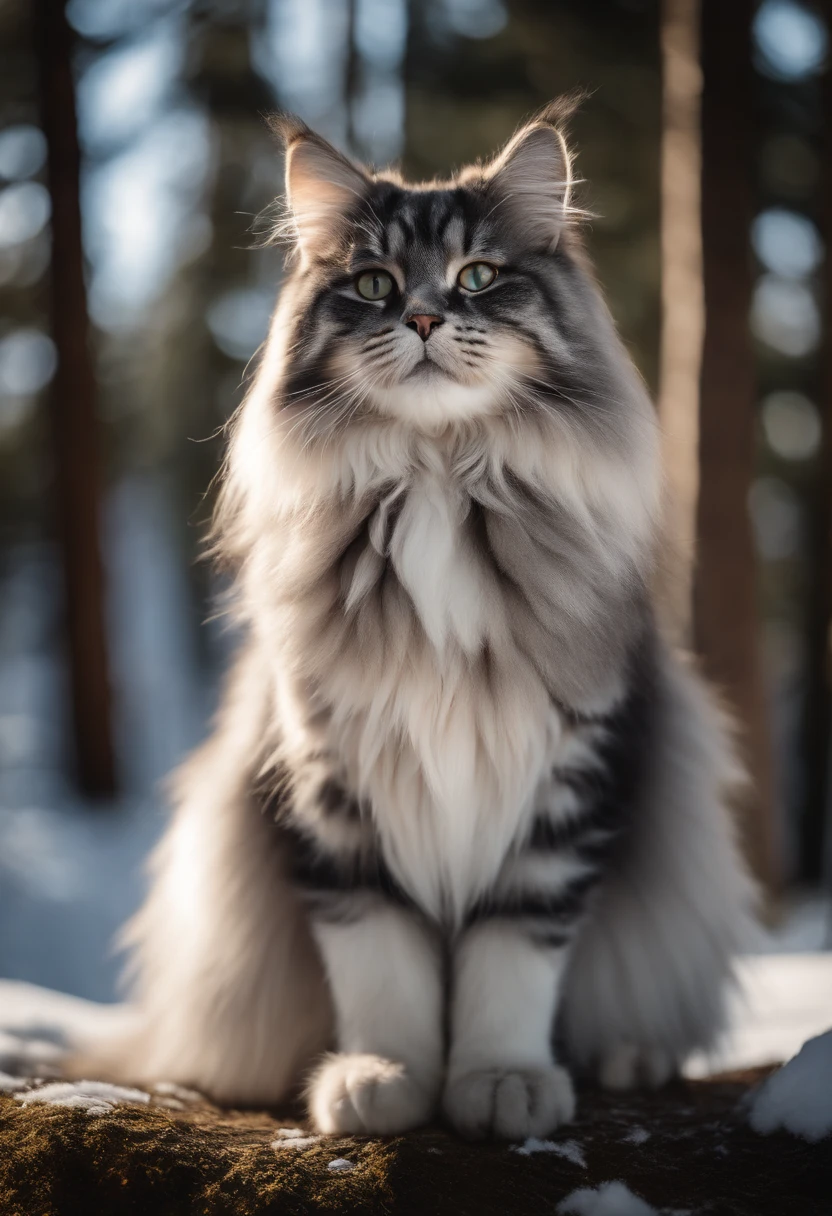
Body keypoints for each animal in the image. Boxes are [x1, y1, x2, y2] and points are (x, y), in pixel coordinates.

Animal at [100, 97, 759, 1138]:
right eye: (373, 282)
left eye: (478, 276)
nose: (419, 316)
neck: (440, 478)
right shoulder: (331, 791)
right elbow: (382, 966)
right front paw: (383, 1079)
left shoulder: (566, 782)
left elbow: (512, 961)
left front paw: (503, 1082)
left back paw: (629, 1058)